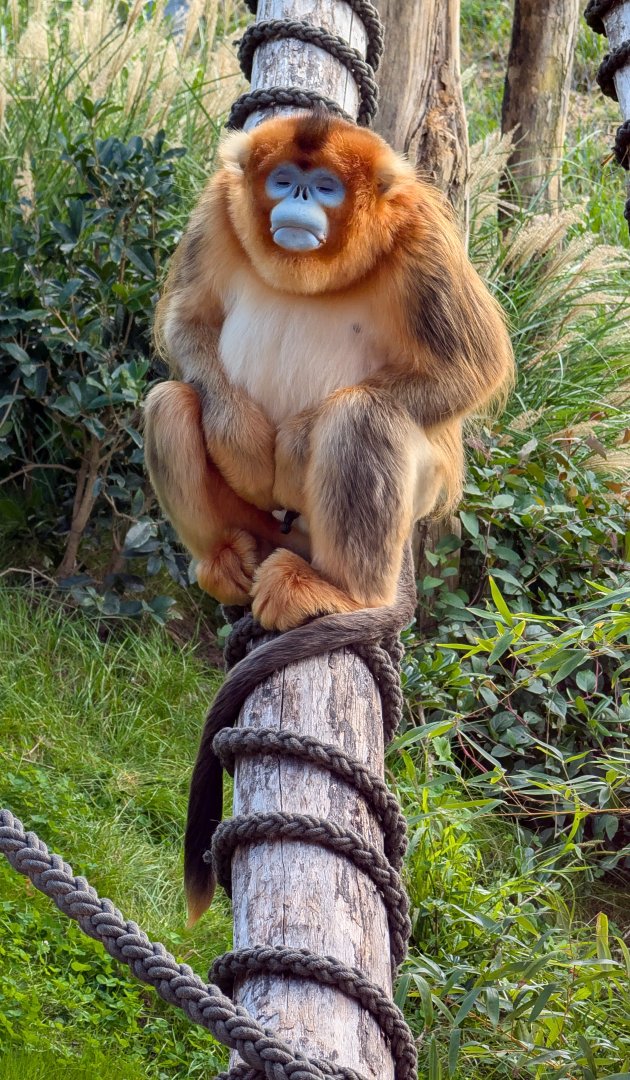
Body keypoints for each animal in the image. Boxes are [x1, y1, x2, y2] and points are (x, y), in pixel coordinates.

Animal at [143, 110, 514, 921]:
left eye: (328, 188)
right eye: (284, 180)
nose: (297, 205)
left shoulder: (422, 236)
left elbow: (471, 368)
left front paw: (295, 444)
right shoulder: (220, 209)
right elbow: (187, 322)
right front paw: (244, 437)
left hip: (407, 499)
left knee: (366, 418)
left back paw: (341, 590)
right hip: (259, 518)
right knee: (172, 400)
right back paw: (226, 557)